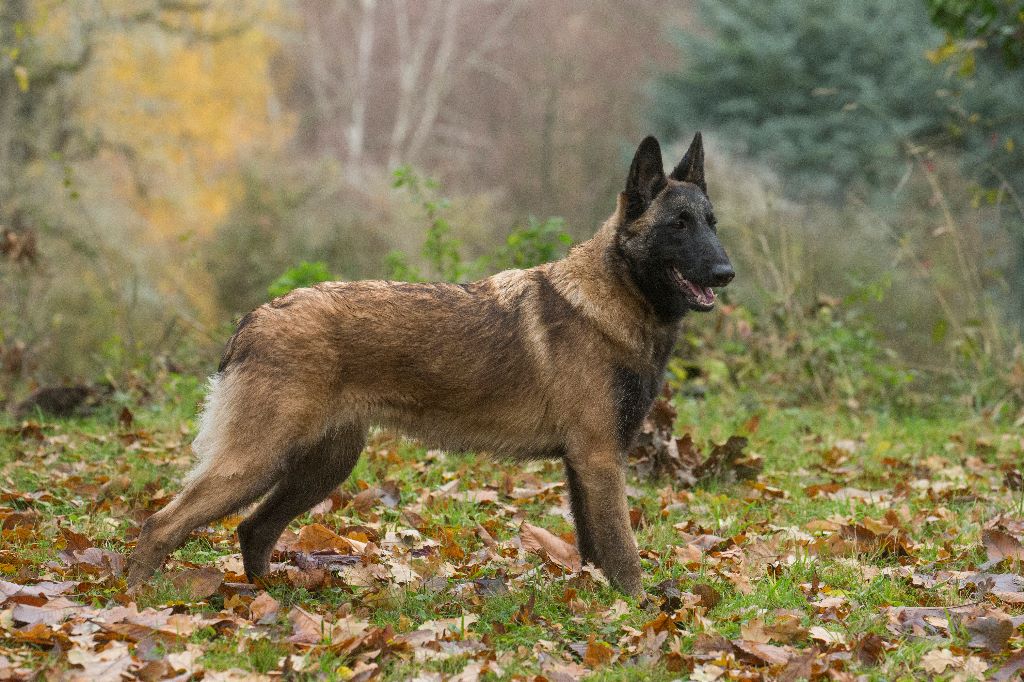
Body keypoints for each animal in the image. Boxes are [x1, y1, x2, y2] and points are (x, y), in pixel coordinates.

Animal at [127, 133, 734, 596]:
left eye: (711, 221)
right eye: (678, 225)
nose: (727, 273)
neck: (611, 300)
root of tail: (256, 317)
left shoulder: (585, 465)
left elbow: (595, 549)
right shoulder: (600, 461)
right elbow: (624, 551)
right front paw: (639, 610)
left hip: (321, 467)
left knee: (252, 530)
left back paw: (266, 600)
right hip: (260, 461)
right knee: (161, 525)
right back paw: (136, 599)